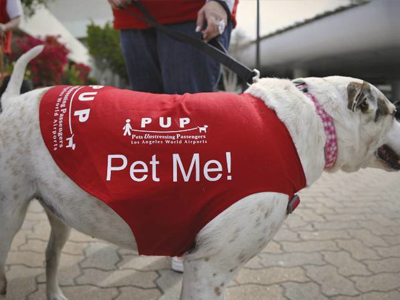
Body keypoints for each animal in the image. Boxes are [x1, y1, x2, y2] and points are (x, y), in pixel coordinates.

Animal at [2, 45, 400, 300]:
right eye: (395, 112)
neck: (312, 117)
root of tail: (11, 100)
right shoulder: (210, 268)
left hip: (59, 214)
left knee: (50, 256)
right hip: (9, 215)